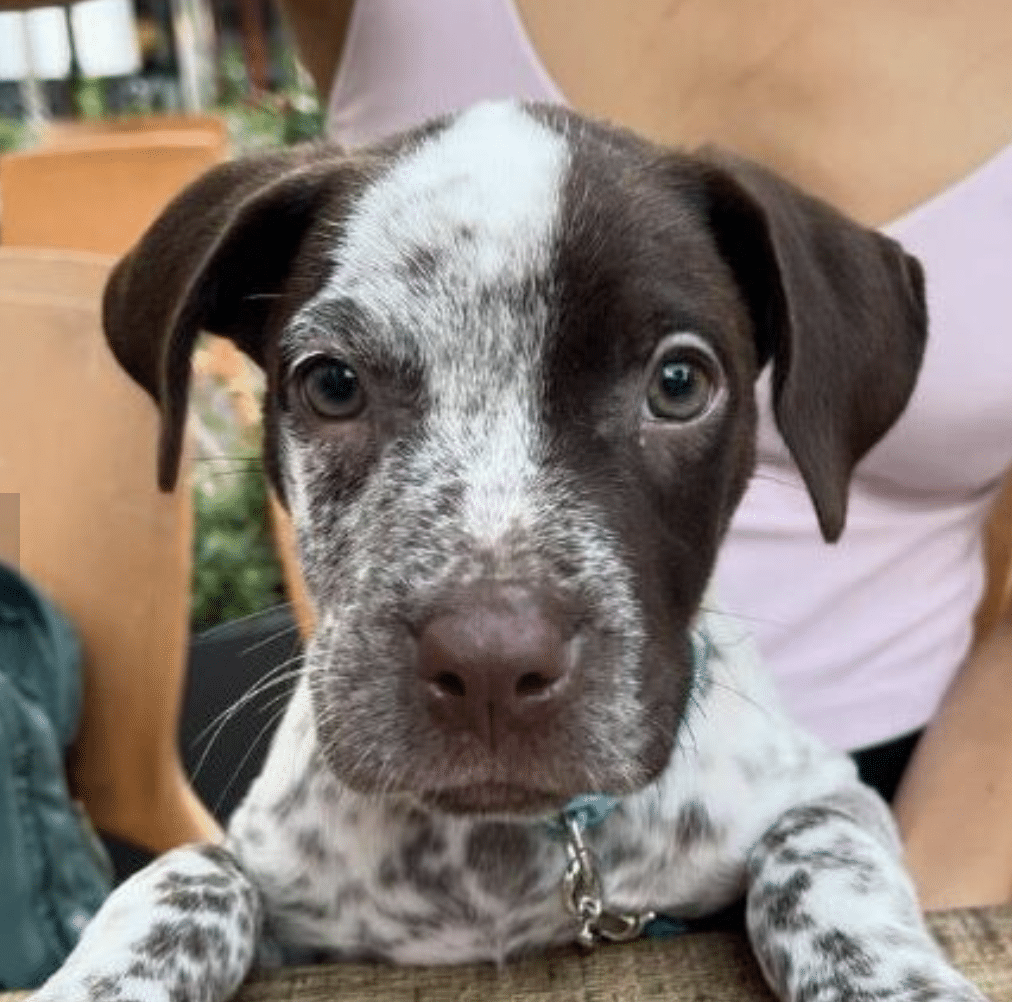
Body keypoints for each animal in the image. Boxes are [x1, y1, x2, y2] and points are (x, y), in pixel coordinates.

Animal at [33, 102, 987, 1002]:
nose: (490, 666)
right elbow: (184, 872)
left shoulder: (829, 792)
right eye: (332, 383)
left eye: (679, 384)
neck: (510, 849)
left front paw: (892, 977)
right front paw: (106, 975)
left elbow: (820, 850)